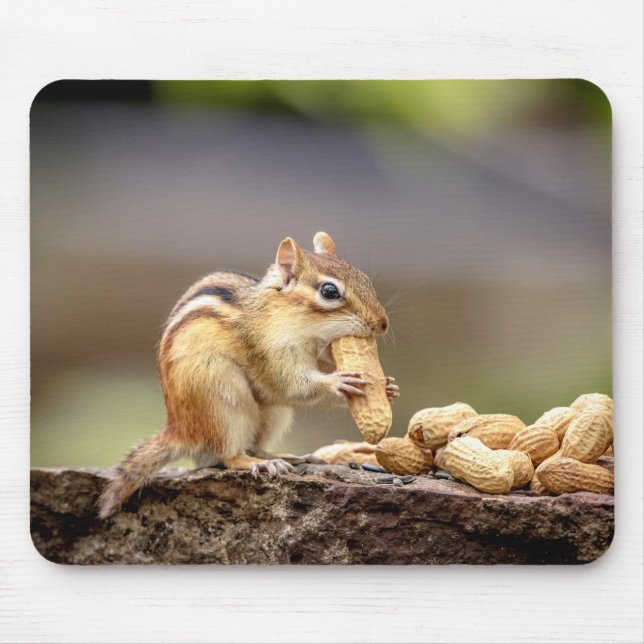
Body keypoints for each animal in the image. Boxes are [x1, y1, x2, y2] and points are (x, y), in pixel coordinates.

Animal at [98, 232, 398, 518]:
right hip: (222, 401)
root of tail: (179, 430)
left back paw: (286, 457)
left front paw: (388, 387)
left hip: (273, 413)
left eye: (365, 279)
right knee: (230, 456)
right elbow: (293, 386)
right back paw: (260, 464)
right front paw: (338, 382)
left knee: (256, 444)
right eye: (329, 291)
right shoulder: (269, 351)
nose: (382, 324)